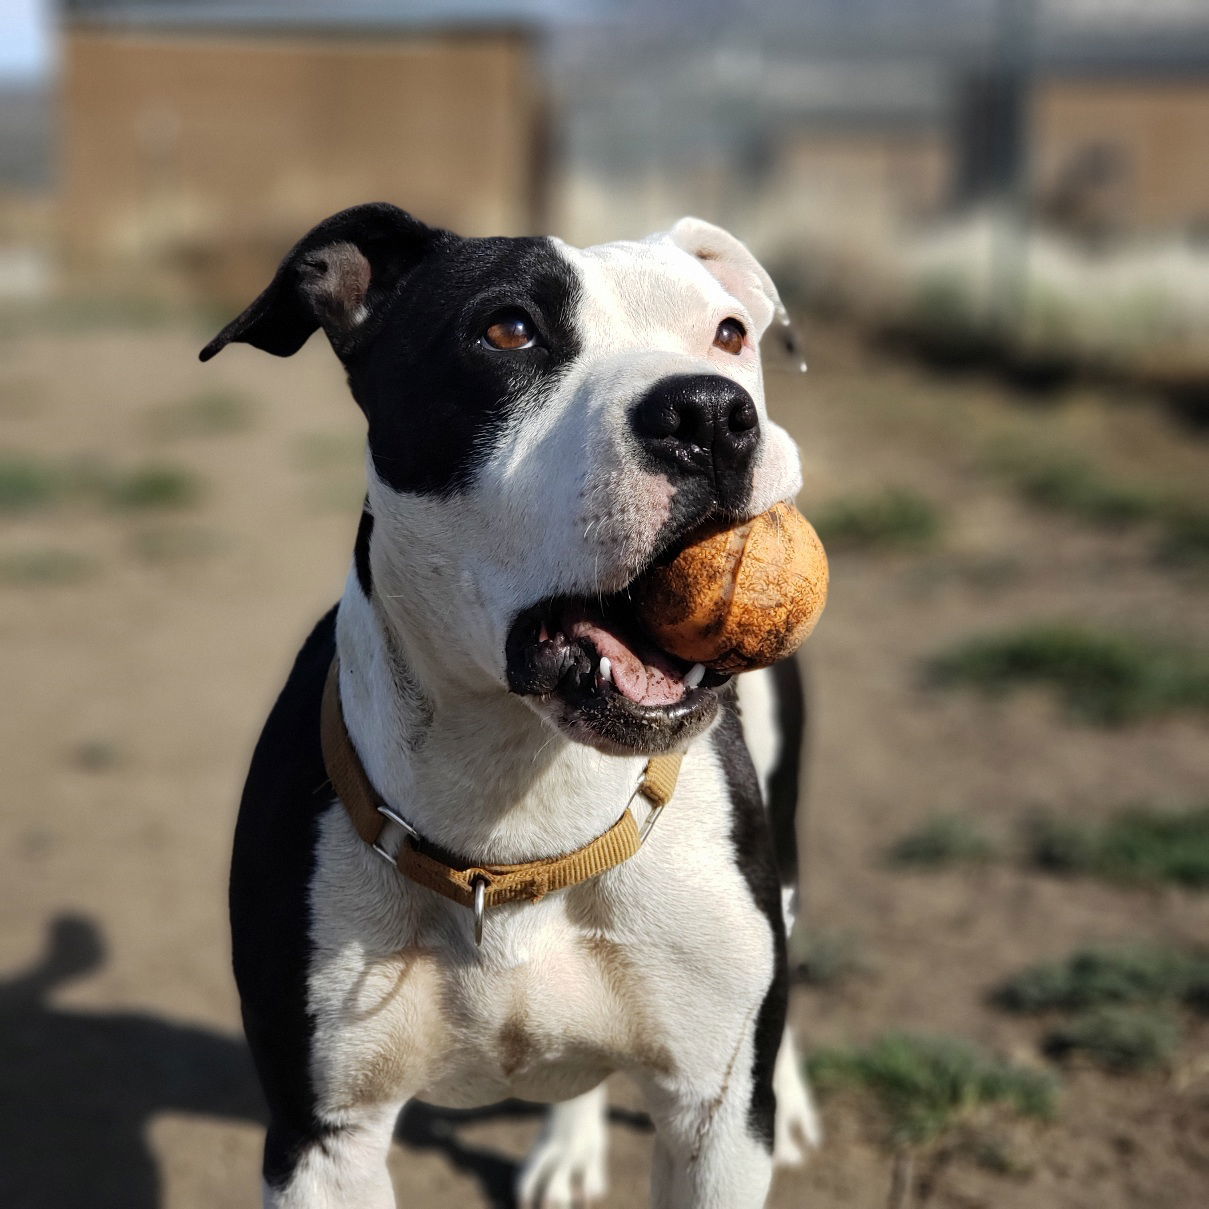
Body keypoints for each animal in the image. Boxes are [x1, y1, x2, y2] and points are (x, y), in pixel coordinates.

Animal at [203, 203, 822, 1204]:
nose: (710, 412)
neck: (524, 803)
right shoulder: (320, 1136)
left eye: (729, 334)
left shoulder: (715, 1122)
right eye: (507, 330)